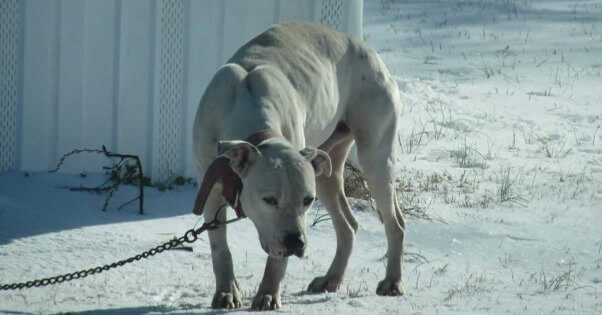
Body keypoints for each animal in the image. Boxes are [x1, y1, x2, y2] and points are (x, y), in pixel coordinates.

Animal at [192, 22, 404, 312]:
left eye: (307, 201)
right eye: (268, 200)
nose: (296, 242)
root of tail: (371, 52)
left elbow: (276, 263)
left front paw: (268, 294)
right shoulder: (211, 189)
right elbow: (219, 247)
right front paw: (226, 292)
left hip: (375, 158)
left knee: (395, 224)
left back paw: (392, 281)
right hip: (326, 170)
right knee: (348, 225)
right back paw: (331, 278)